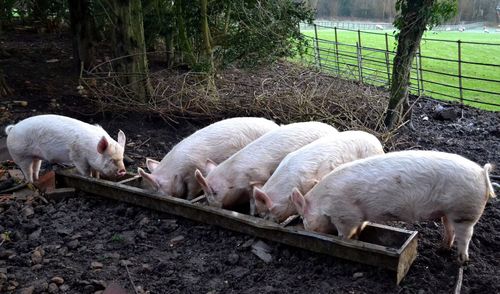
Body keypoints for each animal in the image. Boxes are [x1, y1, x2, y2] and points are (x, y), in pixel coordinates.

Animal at [138, 116, 278, 199]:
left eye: (157, 188)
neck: (177, 171)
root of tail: (275, 126)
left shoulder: (196, 169)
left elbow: (193, 189)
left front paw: (188, 199)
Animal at [193, 121, 338, 209]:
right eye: (204, 192)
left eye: (215, 192)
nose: (212, 205)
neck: (234, 177)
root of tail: (334, 129)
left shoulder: (259, 176)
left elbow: (253, 198)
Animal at [292, 150, 494, 262]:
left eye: (304, 218)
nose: (305, 228)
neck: (324, 203)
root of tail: (481, 173)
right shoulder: (359, 217)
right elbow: (360, 227)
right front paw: (357, 238)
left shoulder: (345, 215)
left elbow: (344, 234)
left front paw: (344, 241)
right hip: (449, 212)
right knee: (449, 228)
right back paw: (442, 249)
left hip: (465, 212)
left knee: (466, 235)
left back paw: (461, 261)